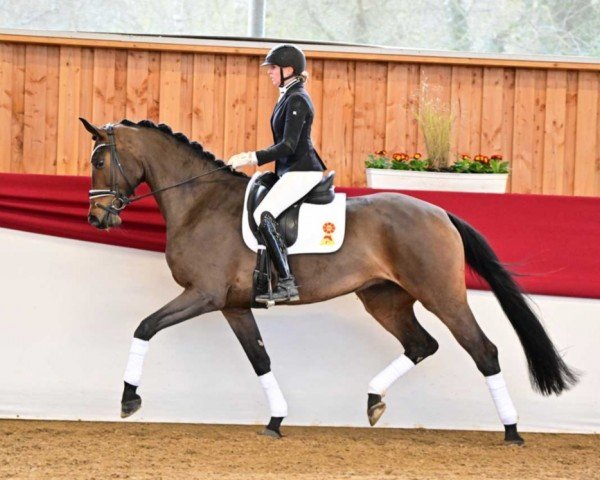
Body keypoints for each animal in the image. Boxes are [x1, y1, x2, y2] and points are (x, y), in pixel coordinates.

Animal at [79, 116, 576, 442]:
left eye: (100, 161)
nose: (97, 218)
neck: (201, 203)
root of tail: (439, 212)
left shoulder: (202, 295)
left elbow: (144, 327)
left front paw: (128, 399)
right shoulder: (233, 305)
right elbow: (260, 360)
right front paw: (276, 421)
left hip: (442, 295)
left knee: (483, 350)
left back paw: (512, 432)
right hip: (384, 299)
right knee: (421, 344)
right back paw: (374, 401)